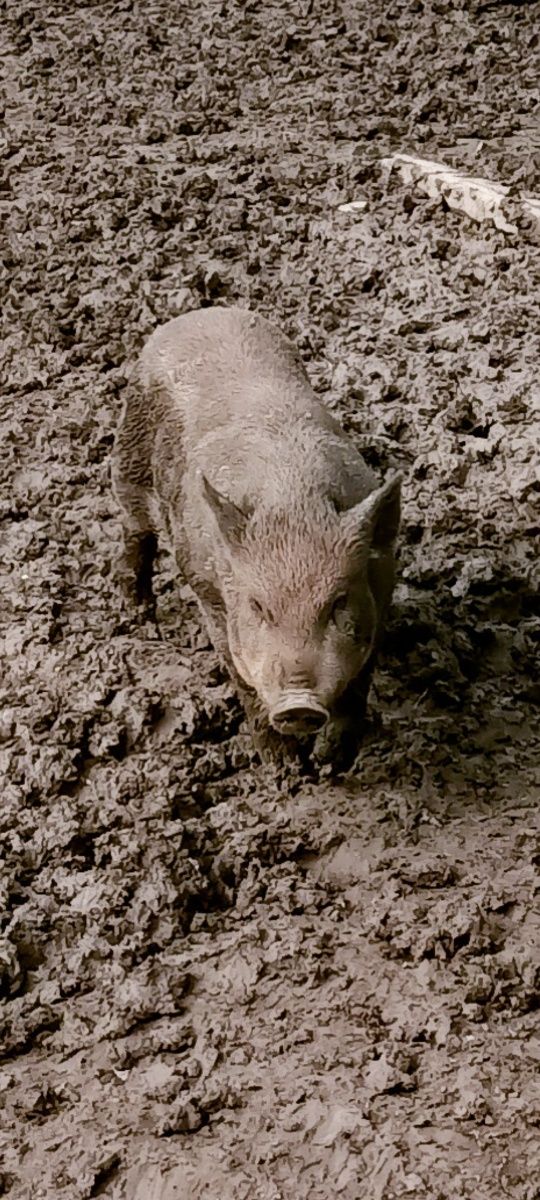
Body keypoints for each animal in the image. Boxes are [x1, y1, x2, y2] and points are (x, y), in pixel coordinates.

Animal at [111, 302, 400, 768]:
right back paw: (145, 628)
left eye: (338, 602)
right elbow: (241, 679)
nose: (298, 705)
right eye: (258, 606)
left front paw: (331, 763)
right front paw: (284, 768)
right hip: (128, 466)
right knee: (134, 538)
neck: (292, 499)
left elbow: (359, 685)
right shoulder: (208, 593)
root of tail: (200, 313)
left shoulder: (383, 585)